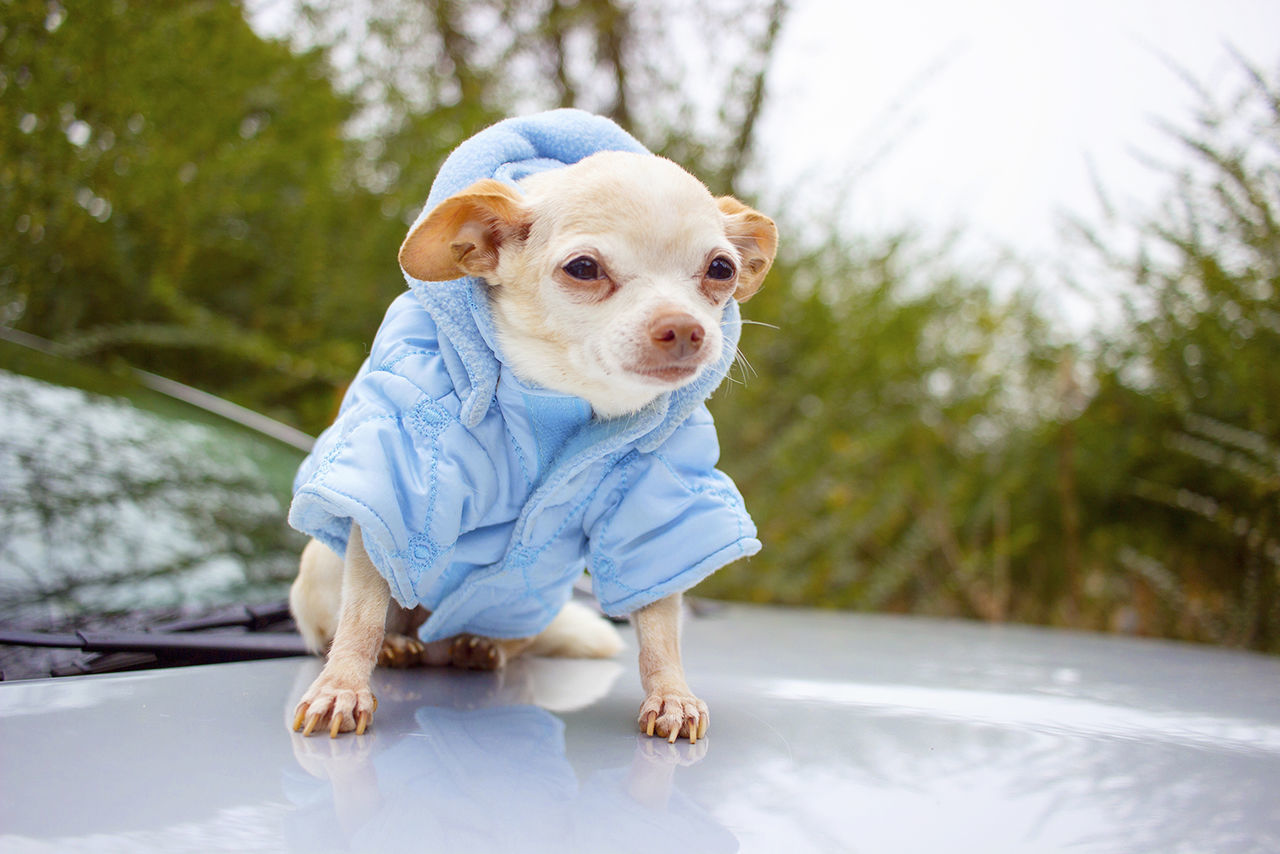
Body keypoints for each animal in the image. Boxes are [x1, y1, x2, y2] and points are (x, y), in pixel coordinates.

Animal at [286, 140, 773, 742]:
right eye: (584, 268)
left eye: (721, 269)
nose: (685, 327)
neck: (559, 398)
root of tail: (435, 644)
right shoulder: (393, 488)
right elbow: (363, 613)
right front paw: (343, 686)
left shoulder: (650, 508)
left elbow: (660, 625)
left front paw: (672, 695)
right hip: (324, 569)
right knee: (363, 617)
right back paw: (398, 645)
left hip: (522, 601)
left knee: (508, 641)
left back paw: (480, 644)